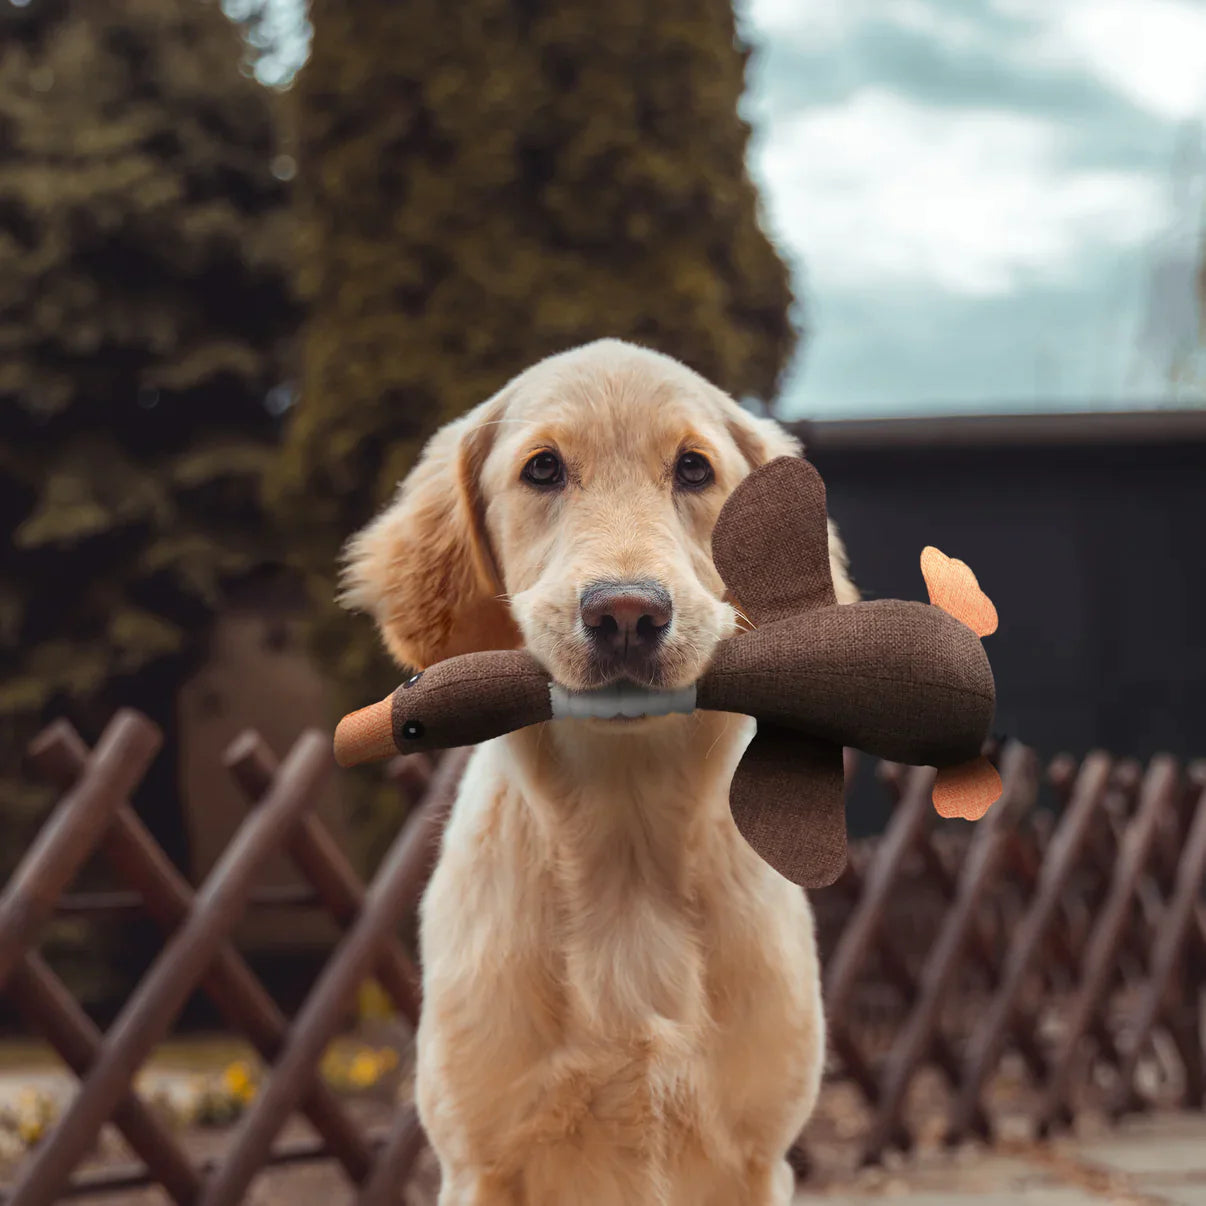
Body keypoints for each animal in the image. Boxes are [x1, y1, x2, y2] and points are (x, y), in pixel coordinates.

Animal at [344, 342, 863, 1206]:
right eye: (543, 469)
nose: (626, 614)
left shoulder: (759, 1157)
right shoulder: (479, 1159)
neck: (628, 843)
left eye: (693, 469)